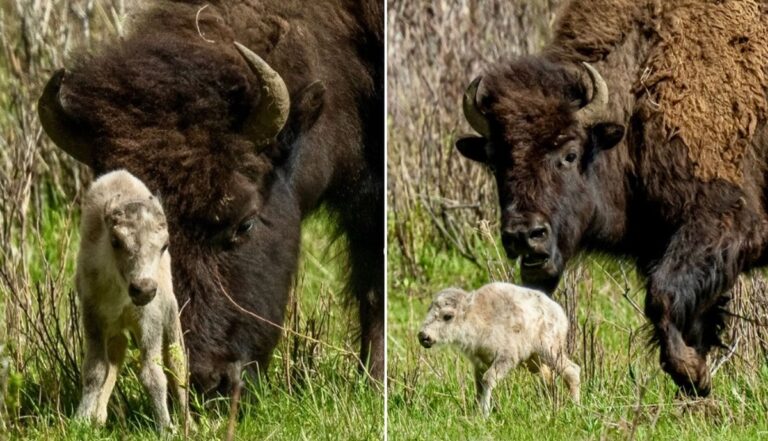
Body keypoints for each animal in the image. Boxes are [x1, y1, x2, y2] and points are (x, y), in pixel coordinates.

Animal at [75, 169, 188, 430]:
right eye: (116, 241)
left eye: (165, 245)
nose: (143, 289)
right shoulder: (93, 317)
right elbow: (96, 369)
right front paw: (82, 419)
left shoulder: (150, 321)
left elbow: (153, 374)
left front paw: (166, 427)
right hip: (115, 328)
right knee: (117, 352)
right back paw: (99, 416)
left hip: (171, 315)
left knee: (177, 362)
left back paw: (191, 423)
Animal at [420, 280, 576, 414]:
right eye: (429, 310)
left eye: (448, 316)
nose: (423, 336)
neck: (477, 316)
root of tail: (560, 313)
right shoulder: (479, 363)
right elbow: (479, 386)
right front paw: (475, 411)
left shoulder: (506, 357)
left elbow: (488, 379)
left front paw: (485, 413)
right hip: (534, 361)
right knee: (549, 378)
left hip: (549, 351)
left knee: (571, 370)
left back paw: (575, 406)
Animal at [456, 0, 768, 394]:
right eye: (495, 161)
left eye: (570, 154)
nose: (525, 235)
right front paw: (696, 379)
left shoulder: (727, 223)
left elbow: (662, 296)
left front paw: (690, 371)